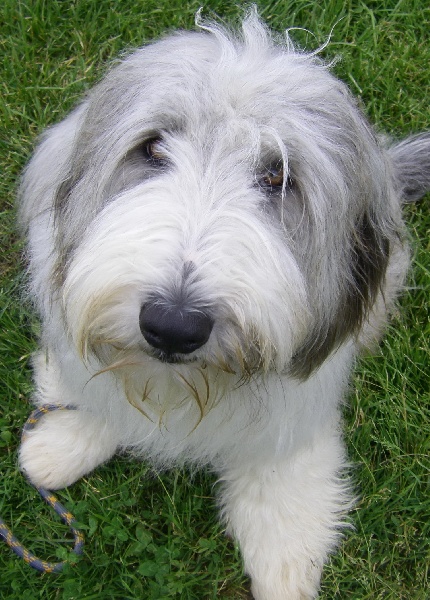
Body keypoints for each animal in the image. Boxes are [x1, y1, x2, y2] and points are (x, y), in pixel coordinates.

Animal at [17, 10, 430, 600]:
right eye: (153, 148)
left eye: (279, 176)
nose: (172, 325)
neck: (179, 389)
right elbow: (92, 388)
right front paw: (64, 443)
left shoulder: (299, 406)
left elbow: (280, 474)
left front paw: (284, 555)